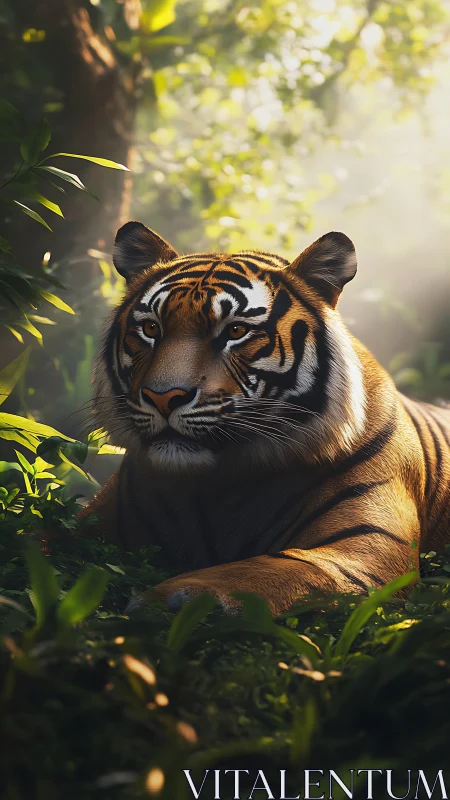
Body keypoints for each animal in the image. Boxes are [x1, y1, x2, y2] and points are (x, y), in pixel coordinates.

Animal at [81, 220, 450, 615]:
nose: (163, 397)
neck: (214, 487)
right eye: (151, 329)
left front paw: (171, 598)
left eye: (236, 331)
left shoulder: (368, 547)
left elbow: (272, 569)